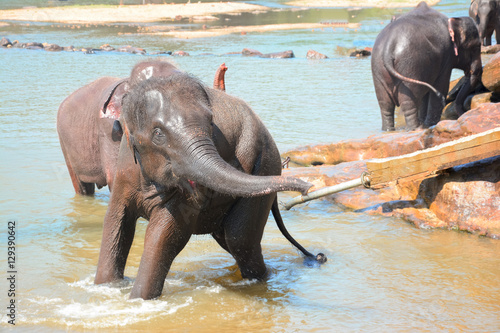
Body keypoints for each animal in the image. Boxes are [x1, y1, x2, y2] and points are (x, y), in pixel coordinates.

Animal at [94, 72, 326, 298]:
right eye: (158, 133)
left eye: (212, 124)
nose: (307, 188)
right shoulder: (124, 169)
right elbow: (115, 222)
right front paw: (108, 288)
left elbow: (165, 235)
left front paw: (137, 299)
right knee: (229, 239)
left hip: (266, 164)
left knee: (240, 239)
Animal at [372, 1, 480, 131]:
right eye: (476, 46)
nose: (464, 112)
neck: (451, 21)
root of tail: (388, 47)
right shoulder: (446, 57)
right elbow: (441, 88)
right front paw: (431, 124)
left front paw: (426, 124)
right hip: (410, 67)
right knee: (409, 102)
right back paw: (416, 128)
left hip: (379, 70)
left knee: (385, 104)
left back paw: (389, 130)